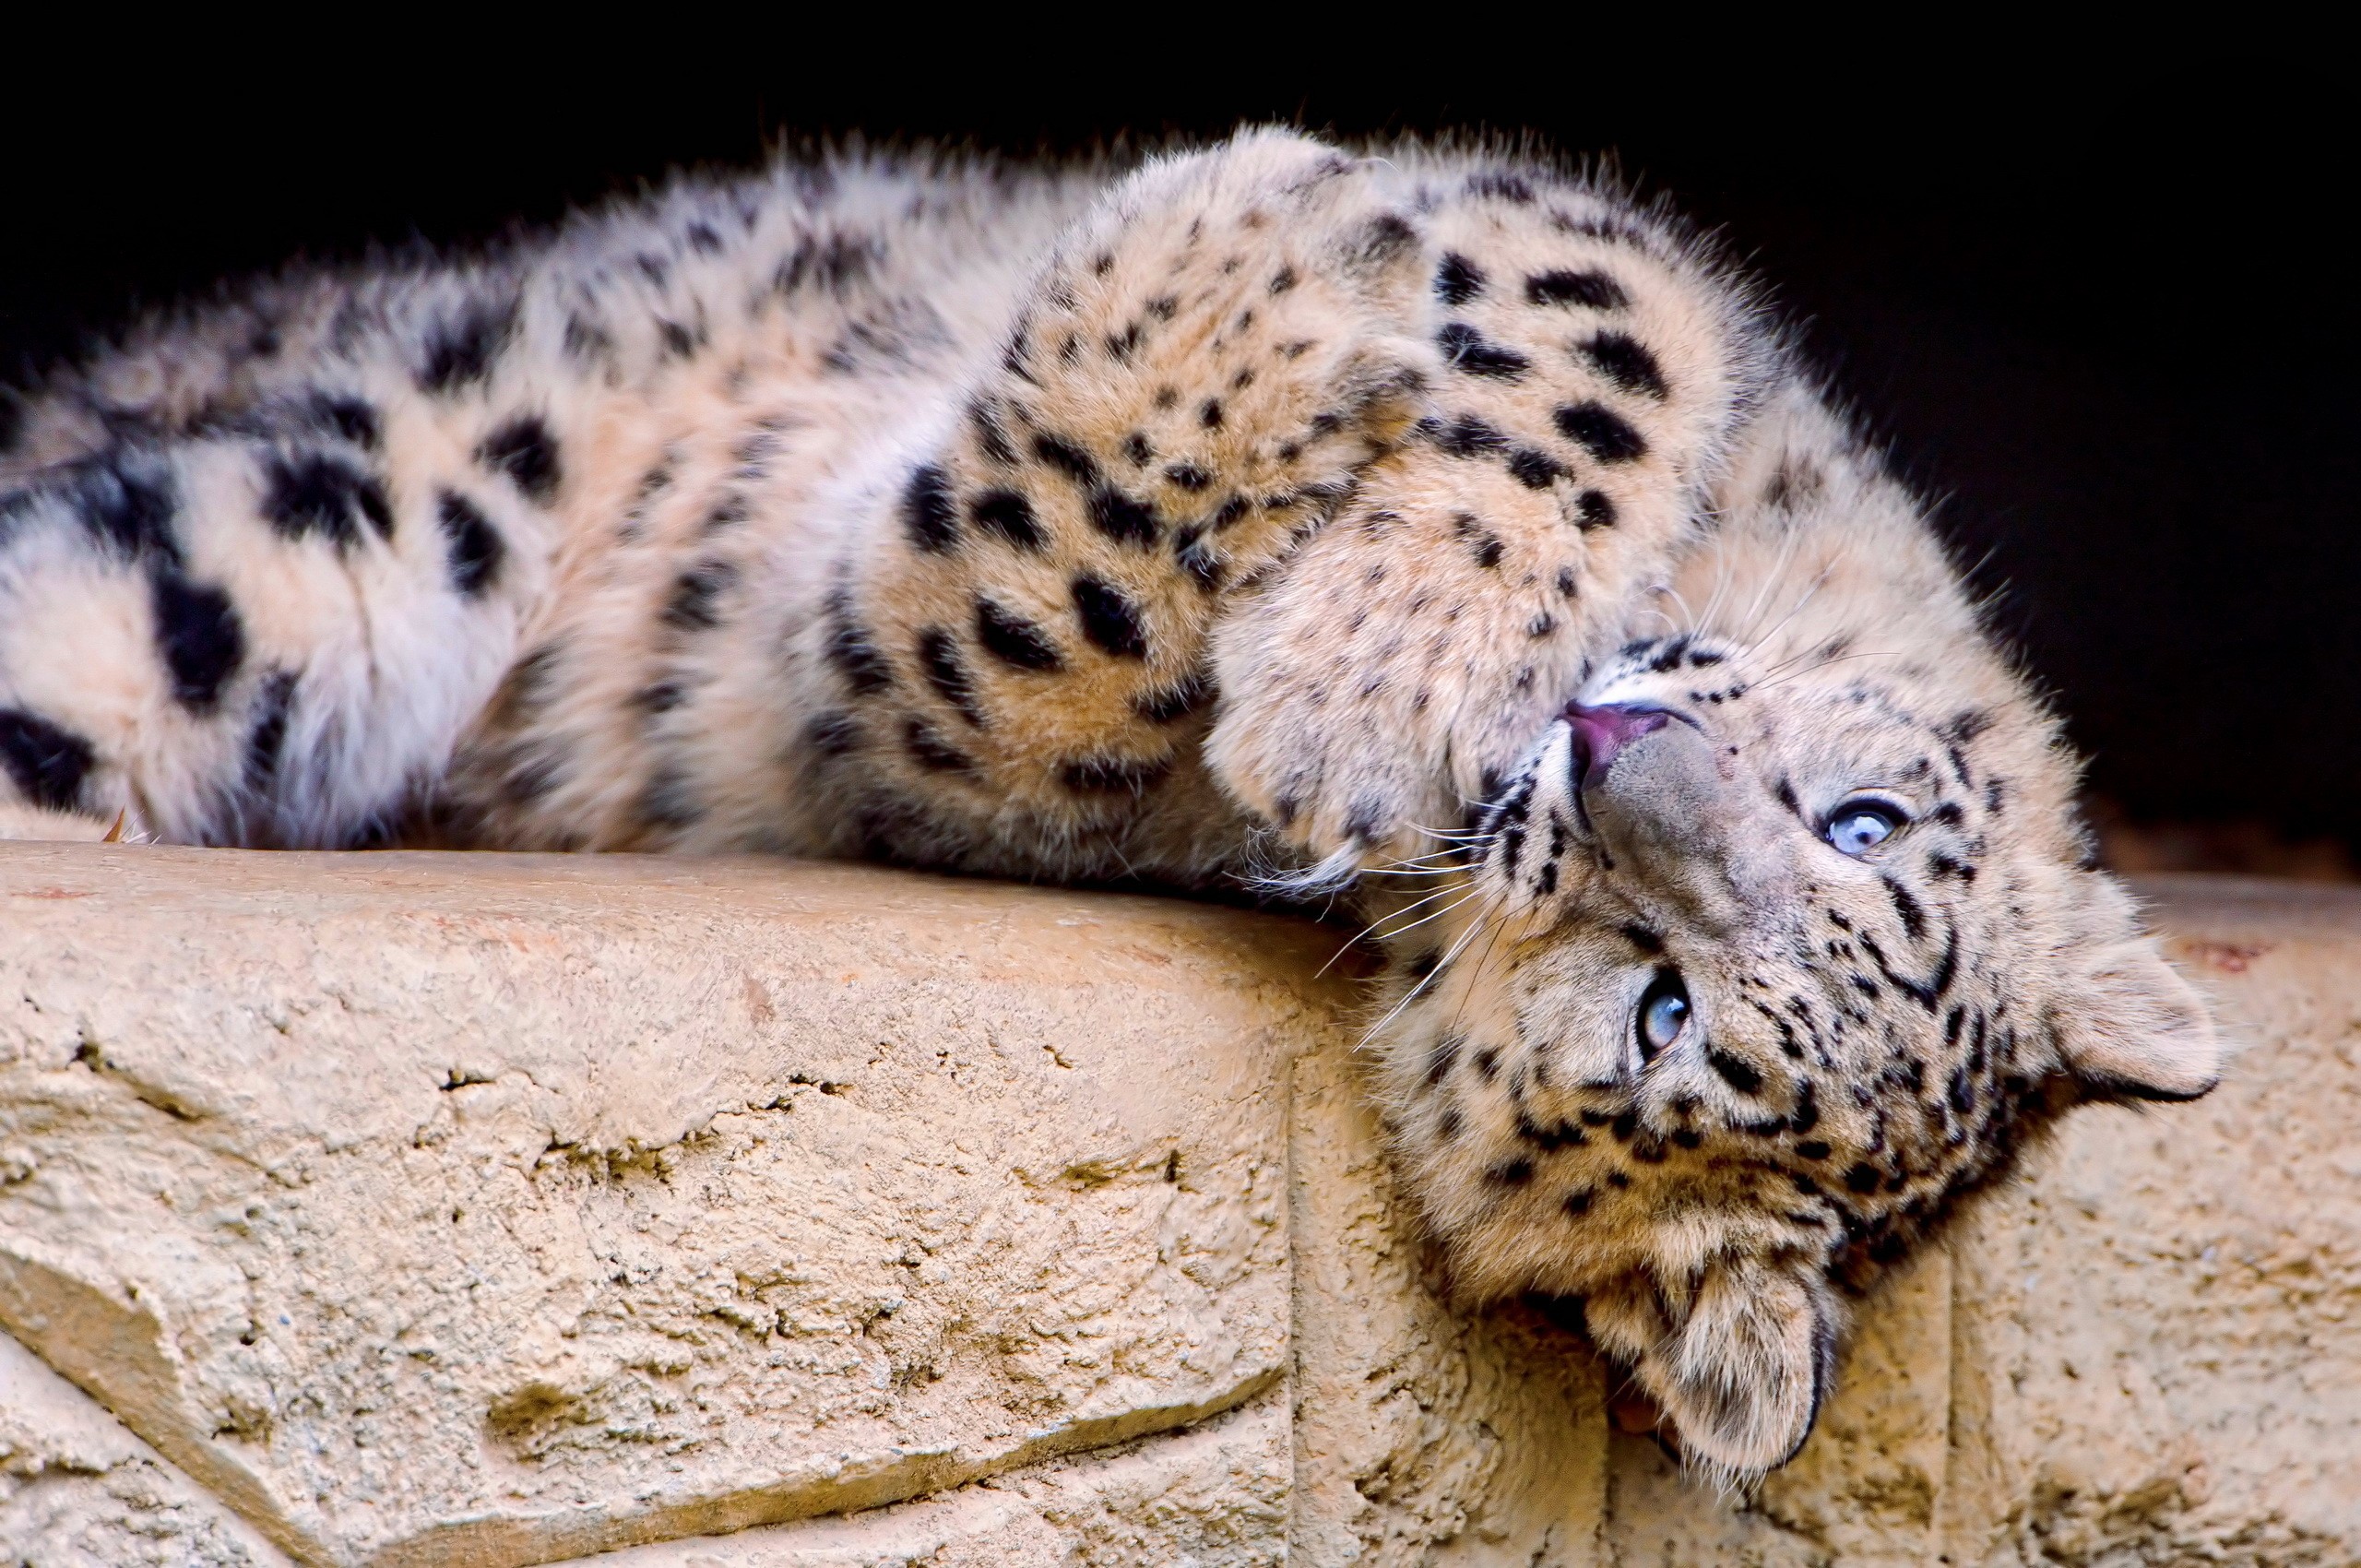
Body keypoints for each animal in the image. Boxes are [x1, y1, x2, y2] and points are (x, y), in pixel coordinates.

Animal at [0, 127, 2221, 1480]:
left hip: (313, 548)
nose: (1608, 754)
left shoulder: (907, 715)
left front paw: (1316, 641)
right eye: (1863, 825)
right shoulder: (1608, 264)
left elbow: (1016, 604)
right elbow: (1589, 326)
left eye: (1657, 1005)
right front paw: (1363, 557)